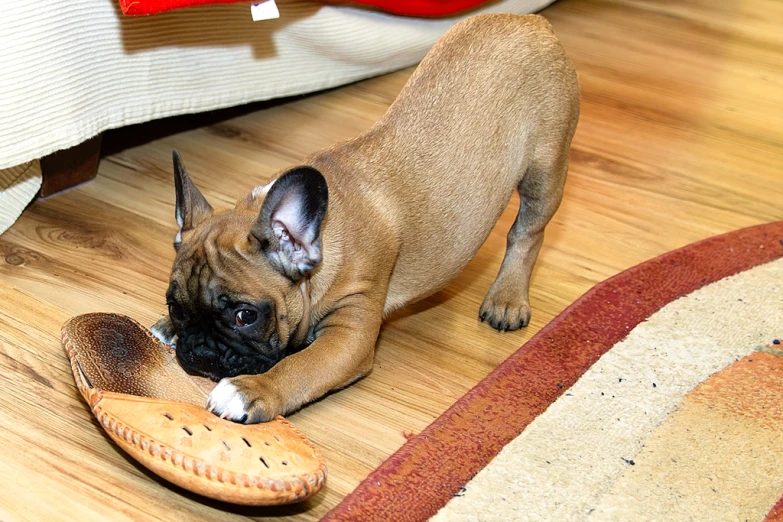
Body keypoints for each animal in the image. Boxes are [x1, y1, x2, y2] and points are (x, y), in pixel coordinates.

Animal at [155, 14, 580, 422]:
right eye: (176, 307)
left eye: (245, 316)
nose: (201, 353)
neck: (323, 236)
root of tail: (534, 24)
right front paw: (168, 329)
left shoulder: (351, 333)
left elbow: (302, 365)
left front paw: (251, 389)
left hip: (544, 170)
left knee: (528, 232)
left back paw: (507, 299)